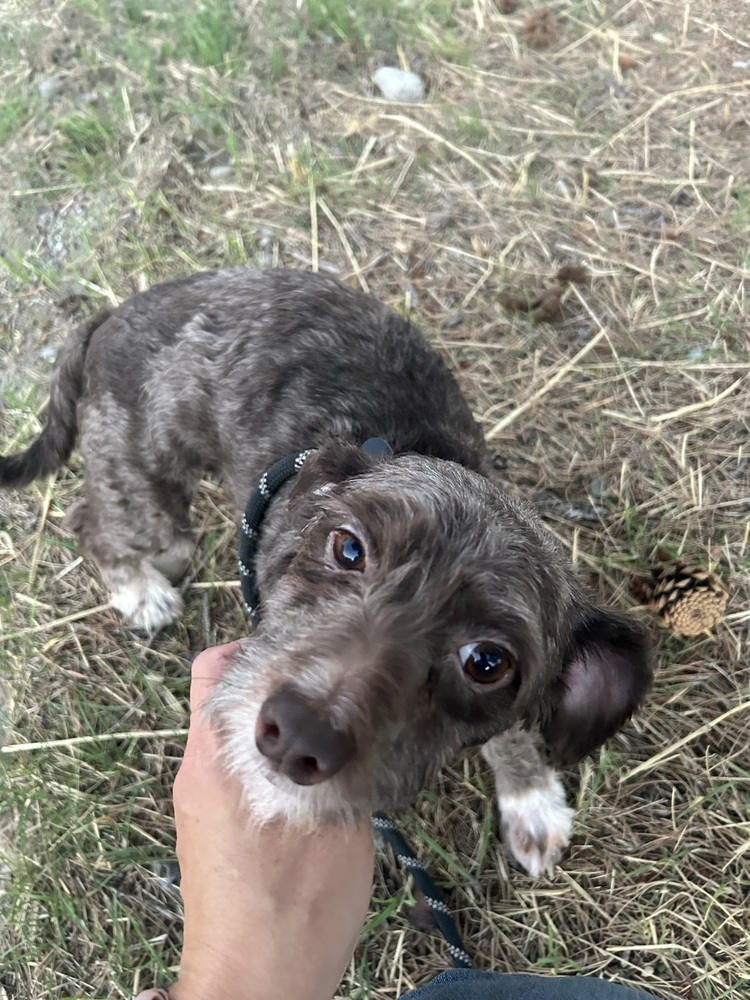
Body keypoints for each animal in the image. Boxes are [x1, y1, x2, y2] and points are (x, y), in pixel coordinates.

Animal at [1, 266, 652, 876]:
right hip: (152, 498)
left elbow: (511, 733)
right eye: (348, 548)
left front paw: (530, 797)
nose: (296, 736)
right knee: (89, 520)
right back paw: (139, 590)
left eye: (487, 663)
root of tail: (109, 316)